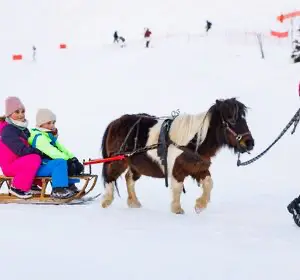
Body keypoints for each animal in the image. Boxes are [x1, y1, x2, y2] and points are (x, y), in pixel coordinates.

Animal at [99, 98, 254, 214]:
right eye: (231, 119)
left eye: (243, 119)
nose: (250, 143)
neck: (193, 141)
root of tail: (114, 123)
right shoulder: (176, 170)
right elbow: (178, 188)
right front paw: (177, 209)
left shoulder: (199, 168)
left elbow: (209, 183)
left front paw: (200, 205)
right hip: (118, 161)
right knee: (110, 177)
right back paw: (106, 201)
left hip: (137, 164)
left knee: (129, 178)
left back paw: (134, 202)